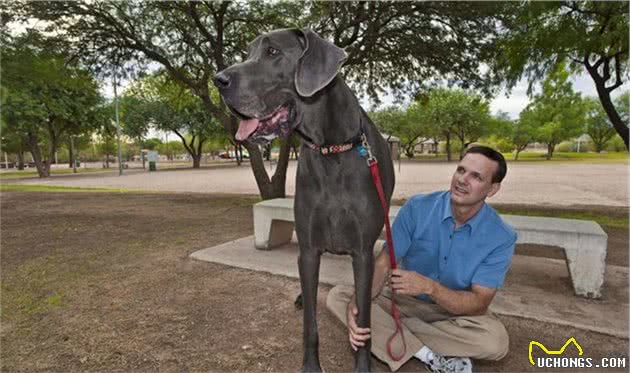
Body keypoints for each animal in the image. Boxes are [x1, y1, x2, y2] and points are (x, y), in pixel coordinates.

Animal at [216, 27, 396, 370]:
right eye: (248, 52)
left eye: (273, 52)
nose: (218, 79)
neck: (331, 149)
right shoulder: (310, 248)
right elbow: (310, 323)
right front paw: (311, 365)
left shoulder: (362, 251)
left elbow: (364, 319)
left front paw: (362, 363)